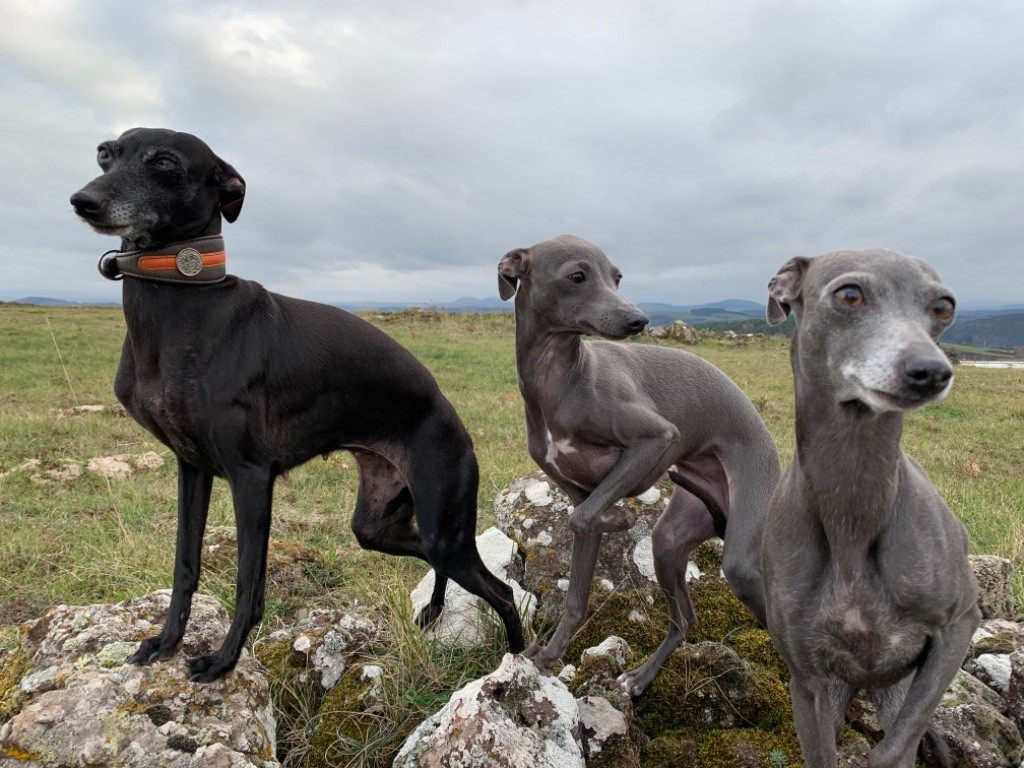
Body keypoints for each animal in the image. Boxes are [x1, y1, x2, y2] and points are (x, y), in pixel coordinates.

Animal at [68, 129, 524, 684]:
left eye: (165, 162)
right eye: (105, 153)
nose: (84, 201)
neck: (186, 302)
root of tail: (451, 417)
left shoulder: (250, 474)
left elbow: (248, 584)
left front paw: (222, 660)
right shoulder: (191, 467)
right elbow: (185, 564)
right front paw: (166, 641)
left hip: (444, 520)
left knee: (501, 592)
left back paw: (519, 665)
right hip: (379, 525)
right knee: (432, 559)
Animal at [499, 234, 778, 696]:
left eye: (617, 277)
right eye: (578, 275)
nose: (639, 320)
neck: (564, 381)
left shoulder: (657, 439)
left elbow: (583, 517)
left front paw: (623, 518)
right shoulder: (579, 492)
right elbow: (575, 589)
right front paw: (551, 654)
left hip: (744, 552)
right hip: (671, 538)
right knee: (684, 618)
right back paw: (640, 677)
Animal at [765, 249, 978, 765]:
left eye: (944, 306)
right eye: (849, 294)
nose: (932, 371)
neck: (853, 511)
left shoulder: (960, 623)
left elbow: (893, 749)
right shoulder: (808, 681)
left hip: (902, 688)